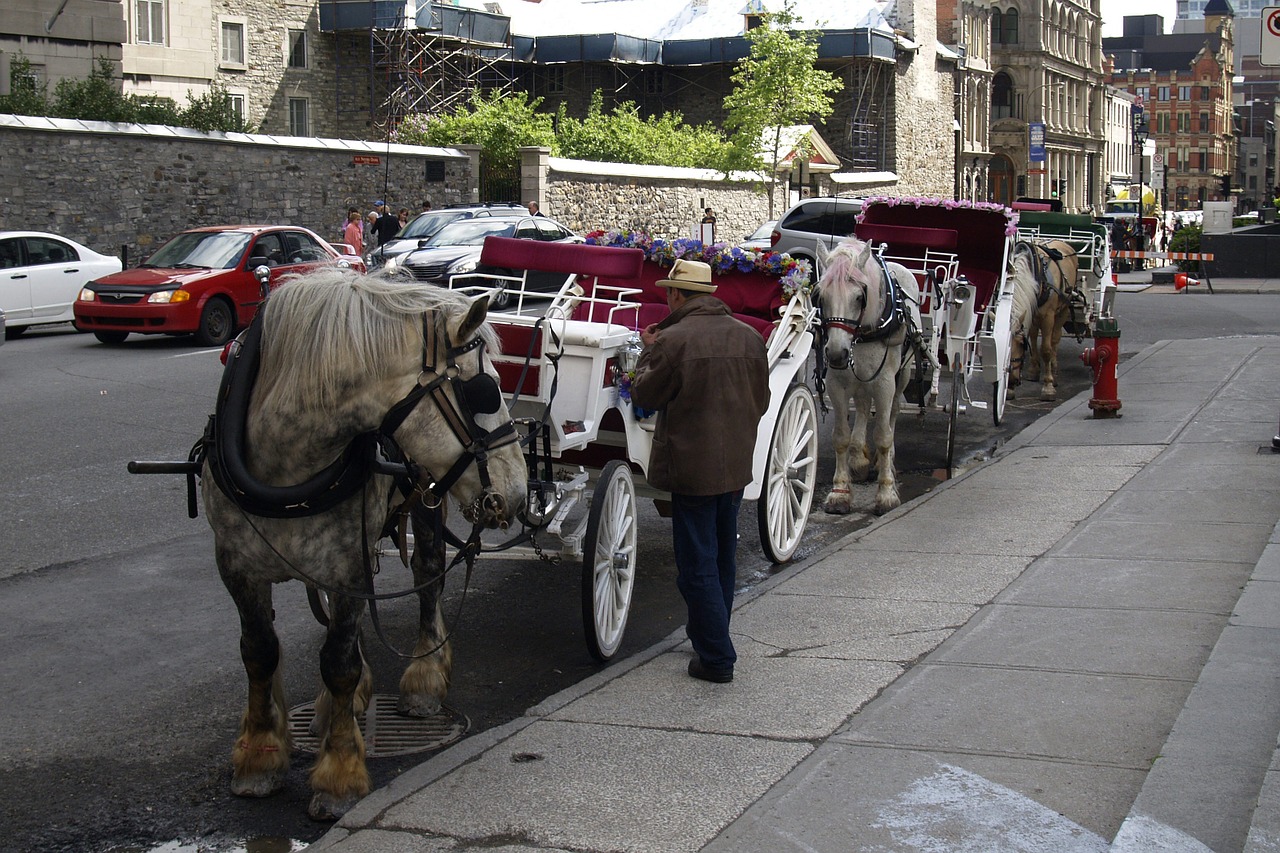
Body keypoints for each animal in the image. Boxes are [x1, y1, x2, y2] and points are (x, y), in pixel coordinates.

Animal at [202, 267, 522, 819]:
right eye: (485, 390)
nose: (520, 489)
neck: (286, 467)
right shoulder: (238, 567)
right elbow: (259, 651)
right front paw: (260, 756)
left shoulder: (345, 562)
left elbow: (339, 661)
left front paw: (339, 775)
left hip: (426, 497)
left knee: (428, 576)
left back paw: (424, 676)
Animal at [819, 236, 931, 512]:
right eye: (821, 296)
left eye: (860, 297)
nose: (836, 354)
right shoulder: (837, 382)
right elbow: (840, 437)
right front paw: (839, 493)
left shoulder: (884, 383)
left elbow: (883, 436)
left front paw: (887, 493)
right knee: (861, 406)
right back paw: (858, 457)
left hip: (901, 376)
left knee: (892, 414)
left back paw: (884, 462)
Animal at [1008, 236, 1080, 399]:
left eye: (1021, 345)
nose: (1011, 381)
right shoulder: (1031, 313)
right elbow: (1034, 342)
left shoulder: (1048, 316)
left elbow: (1046, 350)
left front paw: (1048, 387)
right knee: (1035, 338)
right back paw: (1034, 370)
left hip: (1062, 310)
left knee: (1054, 339)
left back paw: (1053, 369)